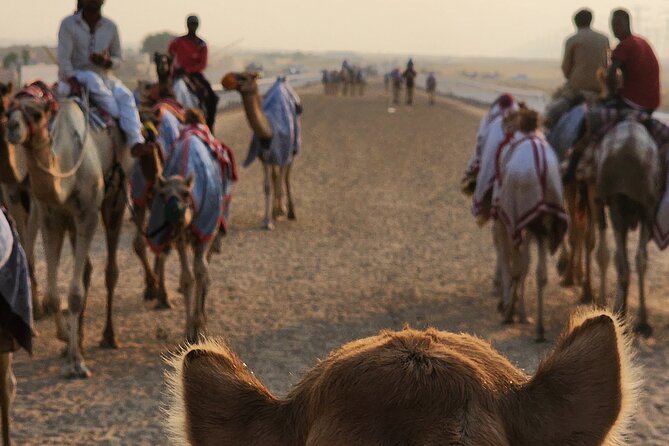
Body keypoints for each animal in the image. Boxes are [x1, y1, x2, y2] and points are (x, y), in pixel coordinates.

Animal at [6, 91, 133, 378]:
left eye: (36, 114)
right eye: (8, 111)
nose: (12, 128)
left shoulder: (88, 214)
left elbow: (74, 295)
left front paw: (77, 363)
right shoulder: (52, 218)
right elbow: (54, 297)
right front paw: (68, 347)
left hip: (115, 200)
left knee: (110, 270)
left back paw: (109, 337)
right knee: (86, 270)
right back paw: (79, 341)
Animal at [222, 72, 300, 230]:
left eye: (244, 77)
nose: (225, 80)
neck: (269, 131)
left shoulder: (284, 152)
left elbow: (282, 179)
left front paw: (281, 213)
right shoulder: (264, 157)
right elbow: (267, 186)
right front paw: (267, 220)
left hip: (292, 148)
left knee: (286, 176)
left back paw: (289, 211)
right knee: (276, 175)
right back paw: (276, 211)